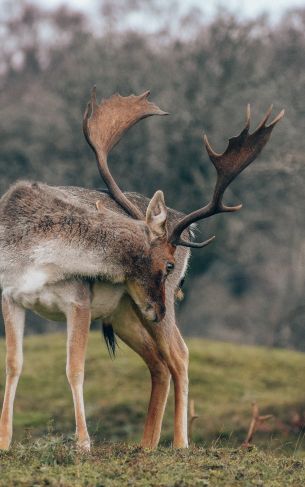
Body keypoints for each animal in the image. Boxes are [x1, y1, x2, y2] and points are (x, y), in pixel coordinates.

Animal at [0, 86, 282, 450]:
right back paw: (147, 445)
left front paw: (83, 443)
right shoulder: (10, 295)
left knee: (179, 354)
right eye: (167, 263)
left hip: (142, 311)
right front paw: (4, 441)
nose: (159, 309)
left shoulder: (79, 300)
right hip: (125, 312)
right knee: (158, 362)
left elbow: (74, 367)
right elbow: (13, 365)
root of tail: (186, 226)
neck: (34, 255)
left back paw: (179, 444)